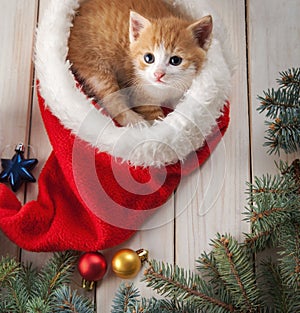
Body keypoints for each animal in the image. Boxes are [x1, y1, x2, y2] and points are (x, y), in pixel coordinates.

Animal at [68, 0, 213, 125]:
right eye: (149, 58)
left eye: (175, 60)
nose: (158, 74)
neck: (166, 90)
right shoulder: (139, 94)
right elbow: (155, 119)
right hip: (94, 63)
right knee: (111, 99)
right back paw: (137, 123)